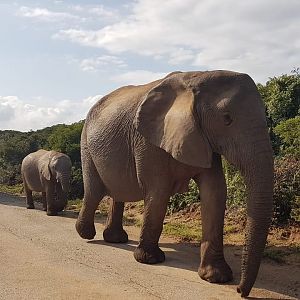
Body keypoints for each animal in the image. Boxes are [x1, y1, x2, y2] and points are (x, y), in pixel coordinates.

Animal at [76, 71, 274, 298]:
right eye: (227, 119)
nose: (240, 291)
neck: (196, 79)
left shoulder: (203, 137)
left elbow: (215, 191)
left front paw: (216, 278)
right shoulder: (149, 140)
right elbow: (159, 191)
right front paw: (149, 260)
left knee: (117, 194)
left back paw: (115, 239)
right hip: (85, 144)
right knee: (94, 191)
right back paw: (86, 234)